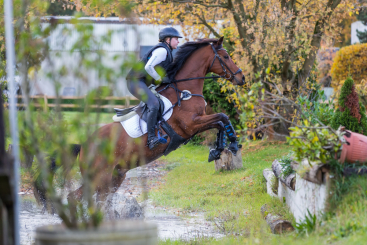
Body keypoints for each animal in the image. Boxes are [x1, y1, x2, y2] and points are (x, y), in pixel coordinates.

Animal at [56, 36, 244, 201]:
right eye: (226, 56)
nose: (241, 78)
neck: (185, 90)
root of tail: (83, 145)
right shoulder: (191, 124)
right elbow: (222, 118)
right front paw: (229, 145)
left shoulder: (199, 121)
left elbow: (221, 121)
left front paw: (220, 149)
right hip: (100, 176)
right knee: (80, 197)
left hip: (116, 176)